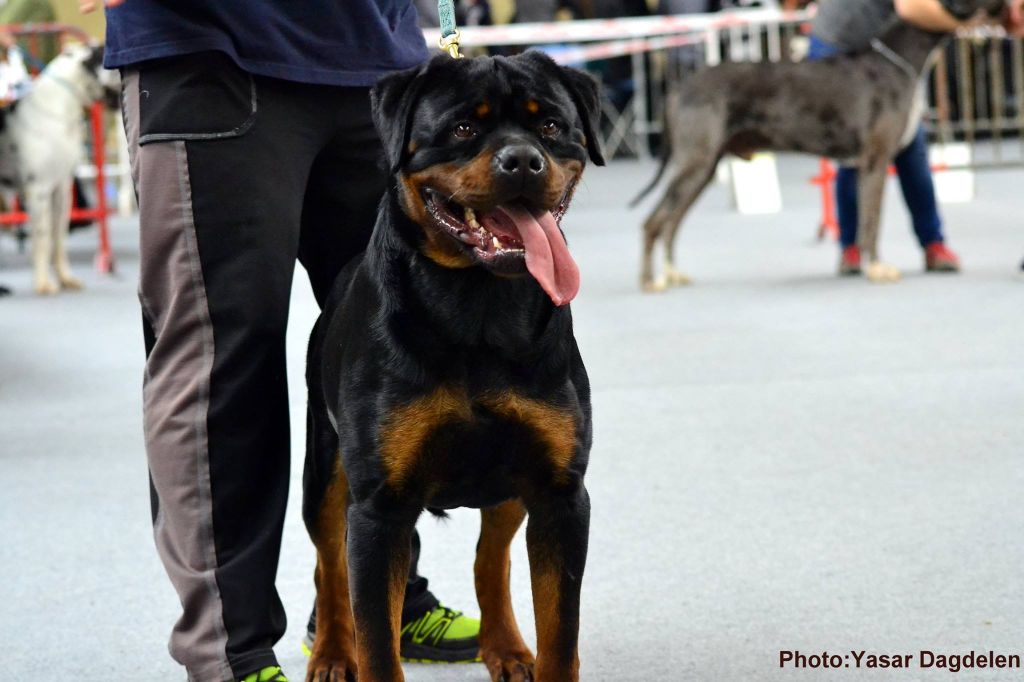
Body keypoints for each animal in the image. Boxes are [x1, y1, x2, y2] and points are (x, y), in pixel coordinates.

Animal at [0, 43, 118, 292]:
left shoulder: (61, 189)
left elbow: (58, 237)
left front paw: (65, 278)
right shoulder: (38, 191)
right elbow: (43, 238)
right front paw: (44, 283)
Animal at [303, 53, 602, 679]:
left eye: (551, 126)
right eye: (464, 128)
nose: (523, 160)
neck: (479, 307)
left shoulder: (560, 494)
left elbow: (561, 635)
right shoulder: (379, 508)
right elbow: (377, 642)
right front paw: (356, 652)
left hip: (511, 484)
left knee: (491, 560)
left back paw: (506, 647)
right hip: (323, 469)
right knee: (329, 565)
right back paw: (331, 653)